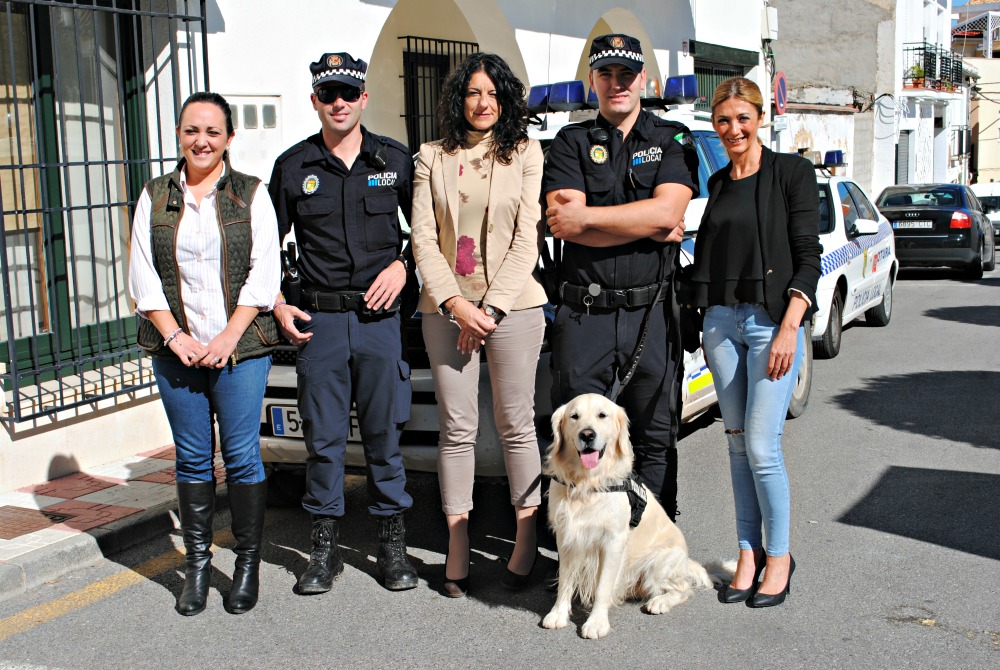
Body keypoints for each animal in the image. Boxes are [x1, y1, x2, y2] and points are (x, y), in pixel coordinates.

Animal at [544, 394, 732, 640]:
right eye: (574, 416)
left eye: (602, 415)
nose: (587, 435)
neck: (588, 483)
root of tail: (687, 561)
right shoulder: (567, 536)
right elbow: (565, 580)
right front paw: (558, 614)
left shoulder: (613, 541)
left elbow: (603, 586)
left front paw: (596, 623)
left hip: (659, 563)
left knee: (683, 588)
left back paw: (659, 602)